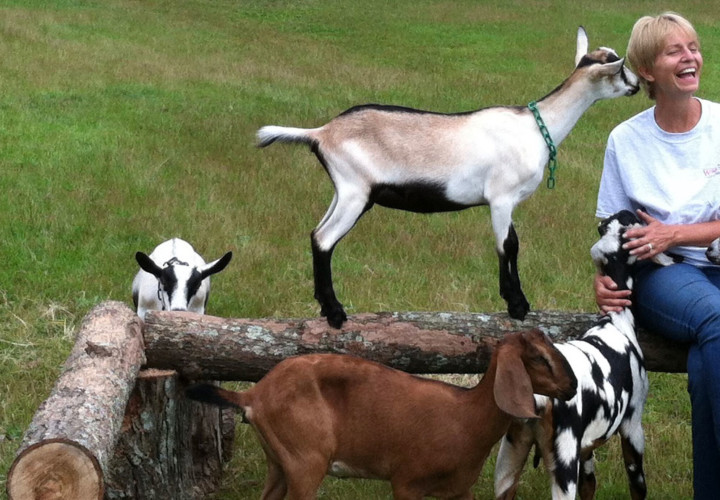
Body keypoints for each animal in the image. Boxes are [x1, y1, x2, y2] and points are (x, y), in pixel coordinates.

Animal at [186, 328, 577, 500]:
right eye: (538, 357)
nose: (572, 385)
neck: (466, 418)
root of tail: (253, 394)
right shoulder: (406, 482)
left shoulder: (459, 490)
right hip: (305, 460)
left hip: (278, 460)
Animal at [256, 27, 639, 329]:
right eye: (620, 68)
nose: (636, 84)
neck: (535, 127)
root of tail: (321, 133)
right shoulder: (500, 197)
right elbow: (507, 245)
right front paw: (516, 305)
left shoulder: (505, 202)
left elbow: (512, 243)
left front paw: (516, 301)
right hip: (355, 191)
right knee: (324, 239)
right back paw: (336, 313)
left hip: (344, 191)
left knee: (315, 233)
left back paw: (325, 307)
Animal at [494, 210, 676, 500]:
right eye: (632, 224)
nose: (629, 211)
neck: (616, 322)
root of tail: (537, 399)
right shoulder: (633, 425)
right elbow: (637, 485)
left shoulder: (585, 449)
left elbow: (589, 486)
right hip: (564, 462)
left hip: (510, 457)